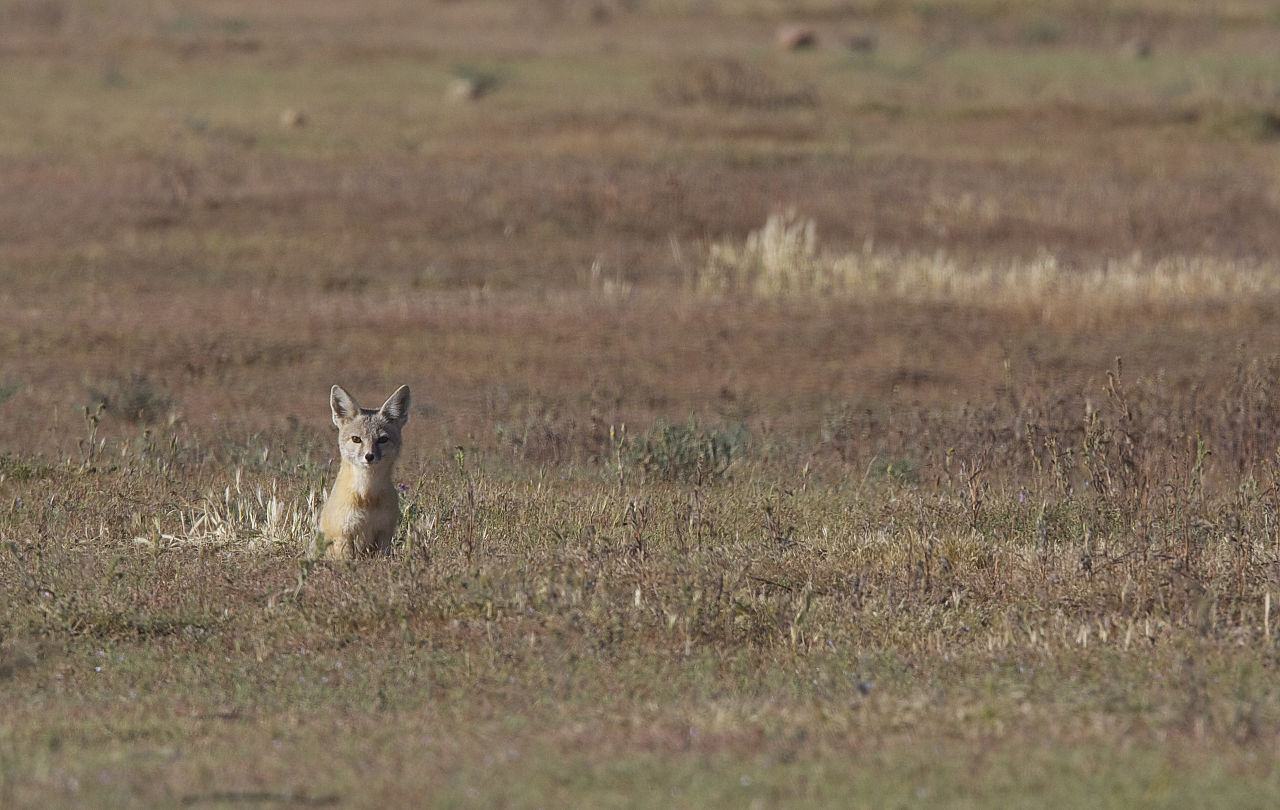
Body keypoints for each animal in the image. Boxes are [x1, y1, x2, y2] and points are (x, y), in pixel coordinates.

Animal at [316, 383, 409, 557]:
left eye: (383, 439)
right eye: (356, 439)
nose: (369, 456)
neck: (367, 497)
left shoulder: (384, 535)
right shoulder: (343, 536)